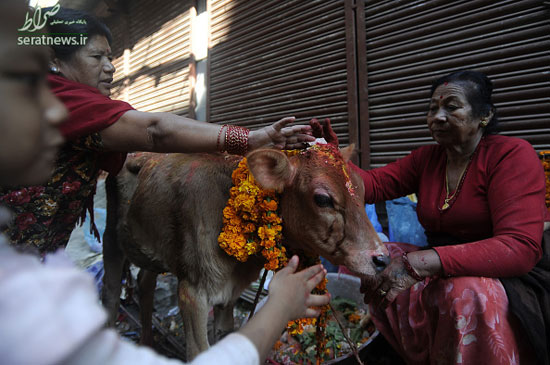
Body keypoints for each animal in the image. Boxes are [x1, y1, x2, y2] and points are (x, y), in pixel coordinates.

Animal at [101, 146, 390, 362]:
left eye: (363, 190)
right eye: (322, 199)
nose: (382, 258)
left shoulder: (228, 295)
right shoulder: (192, 293)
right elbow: (199, 350)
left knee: (144, 283)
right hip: (111, 240)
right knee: (111, 293)